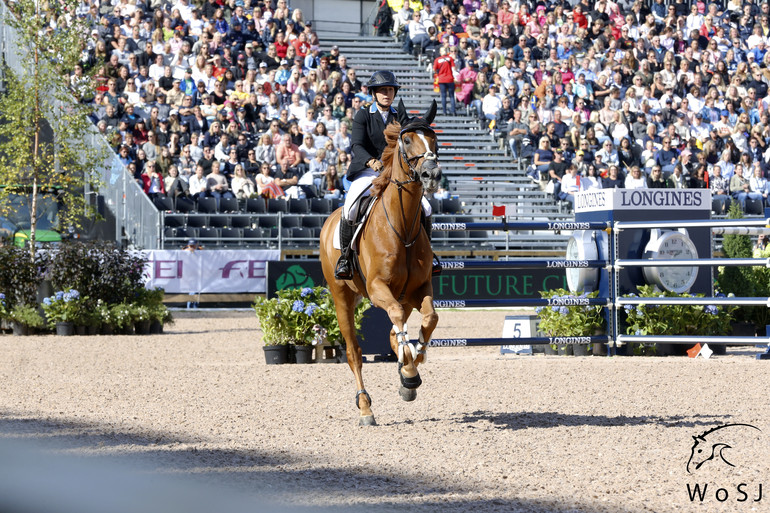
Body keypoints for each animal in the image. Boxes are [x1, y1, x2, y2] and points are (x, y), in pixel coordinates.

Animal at [316, 102, 438, 426]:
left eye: (434, 139)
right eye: (406, 140)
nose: (431, 174)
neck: (402, 227)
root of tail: (330, 220)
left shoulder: (419, 288)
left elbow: (429, 319)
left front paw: (413, 364)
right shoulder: (378, 287)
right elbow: (395, 321)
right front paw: (409, 369)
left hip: (399, 295)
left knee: (395, 330)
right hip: (342, 297)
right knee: (353, 352)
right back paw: (365, 408)